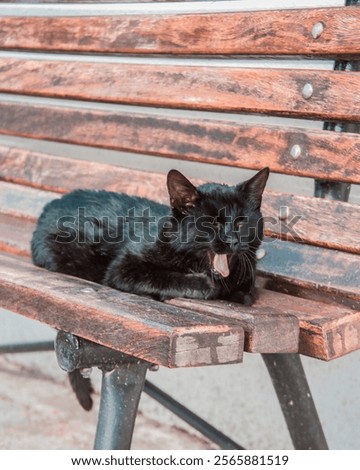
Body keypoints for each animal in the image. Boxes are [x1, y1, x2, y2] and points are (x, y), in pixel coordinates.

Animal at [31, 167, 270, 410]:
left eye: (241, 222)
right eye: (212, 223)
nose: (232, 240)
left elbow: (244, 291)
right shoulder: (122, 268)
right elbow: (164, 276)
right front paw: (203, 285)